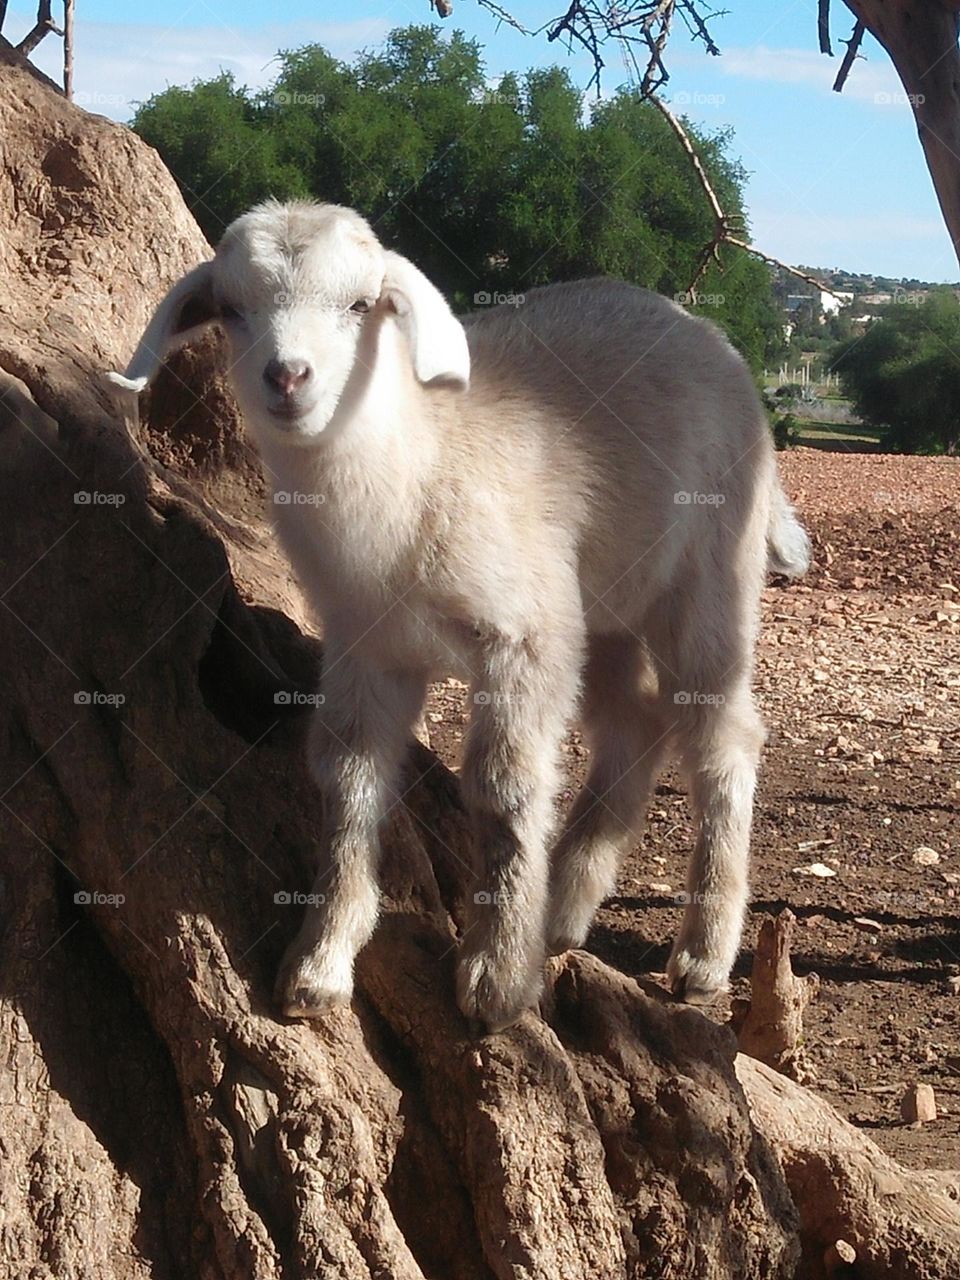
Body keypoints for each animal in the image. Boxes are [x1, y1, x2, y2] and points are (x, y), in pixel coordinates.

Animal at [110, 204, 814, 1034]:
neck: (419, 464)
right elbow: (348, 780)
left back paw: (702, 954)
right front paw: (319, 965)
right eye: (231, 308)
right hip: (599, 605)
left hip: (708, 570)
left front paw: (496, 978)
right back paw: (564, 908)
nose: (287, 377)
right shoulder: (366, 646)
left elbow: (503, 787)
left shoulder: (524, 634)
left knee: (722, 735)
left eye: (362, 304)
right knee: (634, 724)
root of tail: (709, 336)